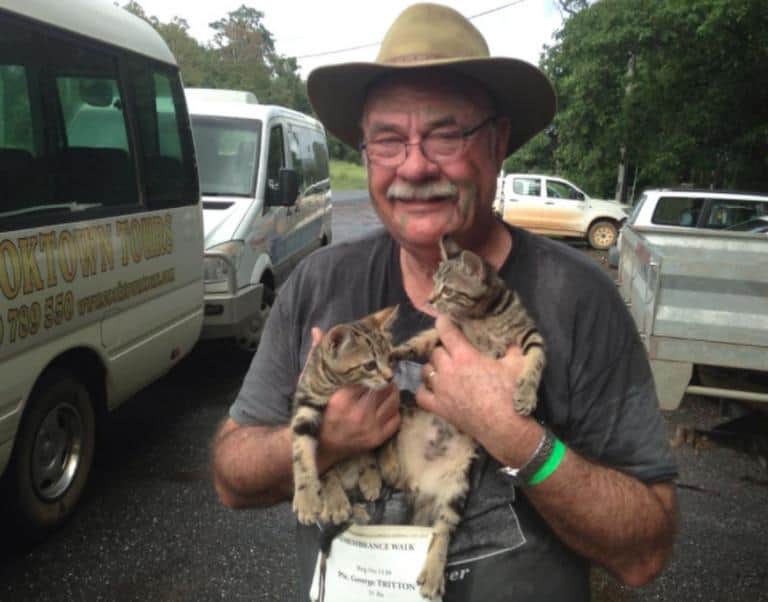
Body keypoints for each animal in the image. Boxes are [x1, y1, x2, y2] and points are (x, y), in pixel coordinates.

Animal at [288, 304, 396, 524]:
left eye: (390, 358)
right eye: (370, 365)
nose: (390, 378)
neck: (338, 384)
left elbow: (367, 449)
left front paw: (370, 477)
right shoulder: (306, 404)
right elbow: (302, 453)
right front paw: (308, 498)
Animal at [384, 234, 544, 596]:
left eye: (446, 290)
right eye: (433, 284)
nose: (430, 299)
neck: (482, 315)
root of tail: (418, 480)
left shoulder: (530, 335)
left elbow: (536, 361)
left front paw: (527, 394)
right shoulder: (444, 334)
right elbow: (420, 341)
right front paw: (396, 350)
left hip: (456, 488)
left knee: (441, 530)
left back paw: (432, 573)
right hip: (407, 412)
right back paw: (389, 465)